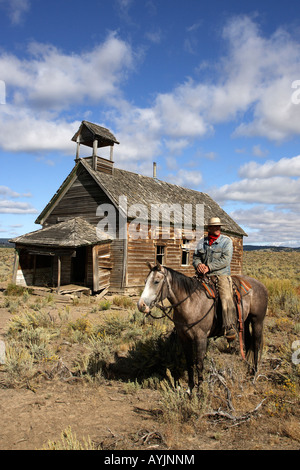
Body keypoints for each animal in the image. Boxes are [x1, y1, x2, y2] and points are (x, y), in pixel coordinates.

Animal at [137, 262, 268, 392]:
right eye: (145, 281)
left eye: (156, 281)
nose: (141, 305)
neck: (190, 302)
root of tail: (260, 284)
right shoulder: (184, 338)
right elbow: (189, 362)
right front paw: (190, 388)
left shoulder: (201, 337)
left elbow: (199, 363)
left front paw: (200, 391)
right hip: (246, 321)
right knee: (249, 343)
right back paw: (249, 371)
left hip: (257, 321)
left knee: (256, 345)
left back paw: (254, 375)